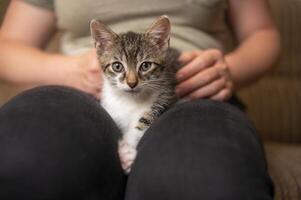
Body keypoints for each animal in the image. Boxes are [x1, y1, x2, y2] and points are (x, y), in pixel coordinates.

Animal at [89, 15, 178, 173]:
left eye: (146, 65)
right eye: (117, 66)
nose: (132, 83)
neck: (130, 100)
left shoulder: (165, 95)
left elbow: (144, 120)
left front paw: (127, 151)